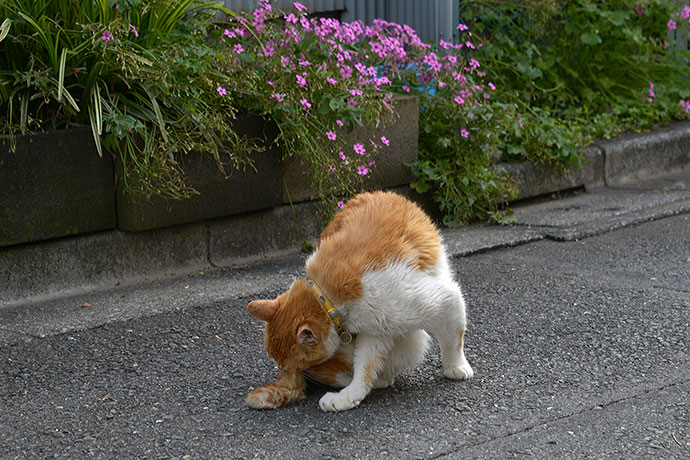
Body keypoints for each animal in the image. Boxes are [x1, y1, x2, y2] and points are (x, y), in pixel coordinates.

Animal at [246, 189, 472, 412]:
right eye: (281, 366)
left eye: (287, 366)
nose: (284, 372)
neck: (327, 299)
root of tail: (376, 192)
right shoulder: (377, 328)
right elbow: (365, 367)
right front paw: (349, 396)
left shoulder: (442, 301)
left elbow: (453, 341)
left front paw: (456, 366)